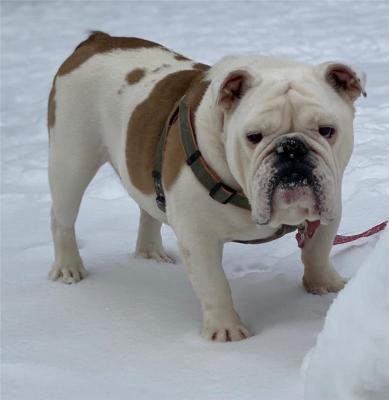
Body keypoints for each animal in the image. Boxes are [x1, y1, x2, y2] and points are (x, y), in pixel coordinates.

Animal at [47, 32, 364, 342]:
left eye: (327, 131)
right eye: (253, 136)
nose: (291, 148)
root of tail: (97, 40)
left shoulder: (331, 204)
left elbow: (317, 250)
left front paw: (325, 286)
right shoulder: (197, 236)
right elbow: (214, 283)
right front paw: (226, 330)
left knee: (148, 208)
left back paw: (151, 254)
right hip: (71, 160)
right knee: (63, 218)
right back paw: (68, 268)